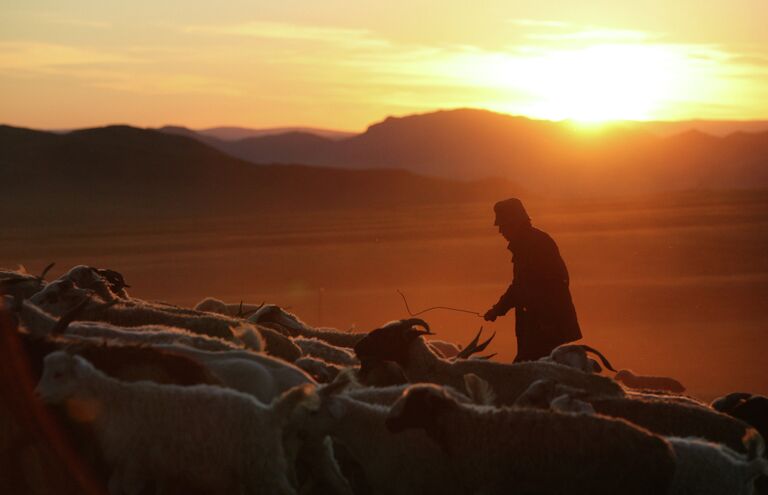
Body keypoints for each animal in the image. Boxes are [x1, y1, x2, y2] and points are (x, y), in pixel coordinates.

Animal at [35, 350, 312, 494]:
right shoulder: (127, 461)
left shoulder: (136, 461)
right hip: (248, 468)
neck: (114, 400)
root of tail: (269, 411)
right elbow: (113, 488)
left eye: (58, 374)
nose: (38, 395)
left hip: (263, 465)